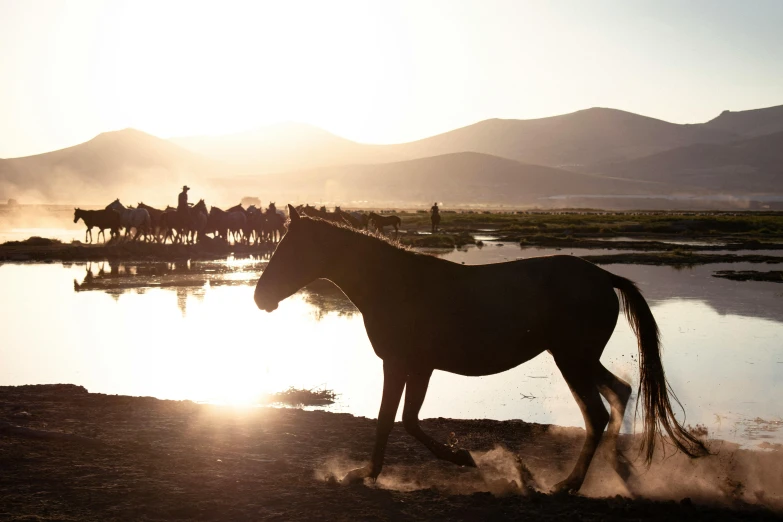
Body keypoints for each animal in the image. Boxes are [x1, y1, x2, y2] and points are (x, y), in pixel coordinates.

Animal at [256, 204, 712, 492]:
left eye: (289, 250)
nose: (260, 298)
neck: (396, 285)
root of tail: (604, 277)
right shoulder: (418, 366)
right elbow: (404, 420)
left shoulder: (404, 363)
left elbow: (395, 420)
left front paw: (458, 460)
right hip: (579, 357)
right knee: (618, 394)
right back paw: (617, 469)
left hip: (571, 358)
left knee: (597, 414)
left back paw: (568, 484)